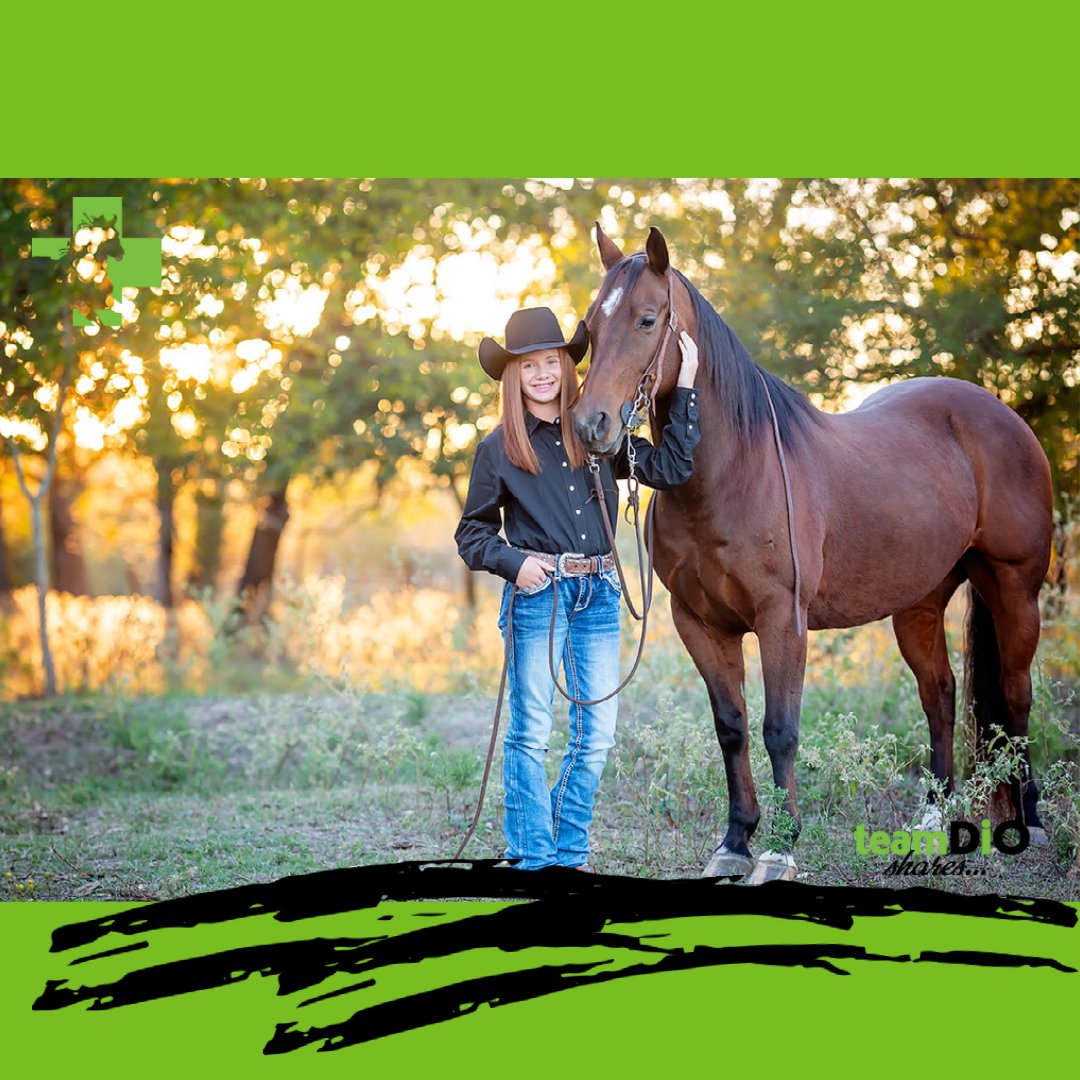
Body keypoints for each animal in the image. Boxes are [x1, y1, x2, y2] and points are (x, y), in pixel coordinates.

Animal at [573, 224, 1053, 881]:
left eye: (647, 320)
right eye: (590, 326)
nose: (590, 427)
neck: (729, 471)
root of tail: (1002, 414)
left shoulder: (783, 620)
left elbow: (780, 730)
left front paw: (780, 849)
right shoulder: (700, 622)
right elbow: (732, 728)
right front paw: (735, 842)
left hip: (1015, 587)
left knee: (1016, 692)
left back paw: (1031, 819)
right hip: (919, 605)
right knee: (941, 693)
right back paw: (932, 815)